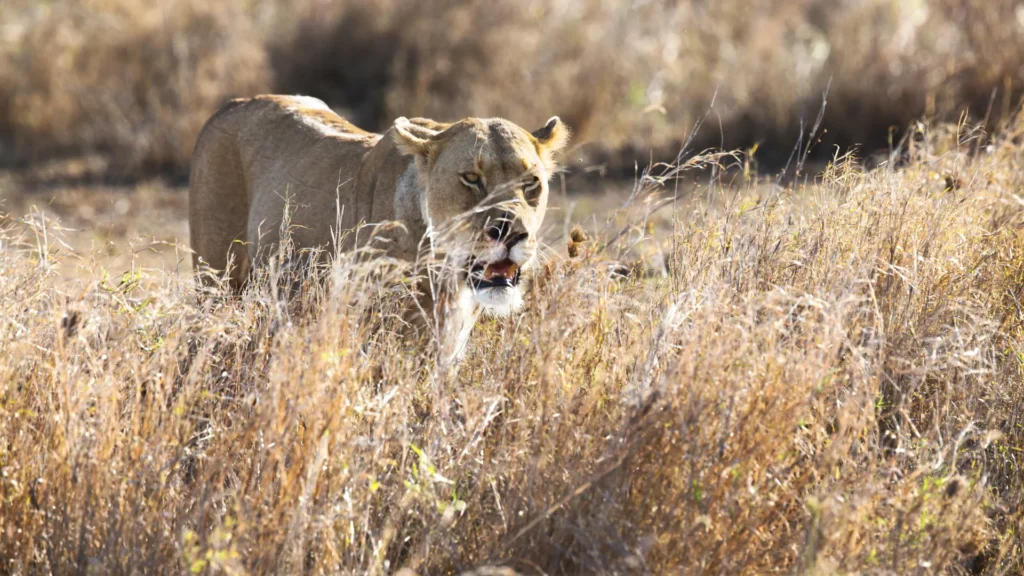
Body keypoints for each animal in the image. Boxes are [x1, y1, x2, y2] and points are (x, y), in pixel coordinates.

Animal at [189, 94, 568, 363]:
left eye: (531, 183)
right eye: (472, 178)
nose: (512, 233)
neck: (445, 274)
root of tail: (231, 104)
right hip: (217, 282)